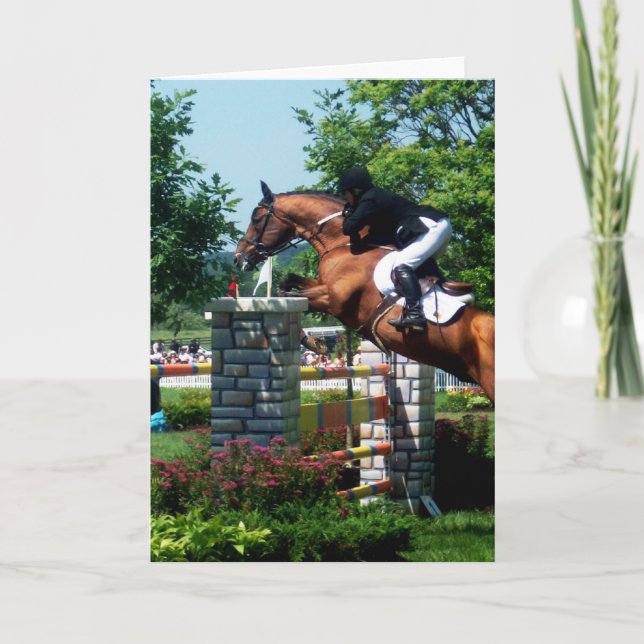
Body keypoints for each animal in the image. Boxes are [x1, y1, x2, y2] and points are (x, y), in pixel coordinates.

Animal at [234, 182, 495, 402]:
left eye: (256, 219)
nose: (239, 258)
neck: (345, 243)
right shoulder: (321, 285)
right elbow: (287, 283)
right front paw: (315, 341)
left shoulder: (332, 299)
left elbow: (289, 296)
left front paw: (315, 344)